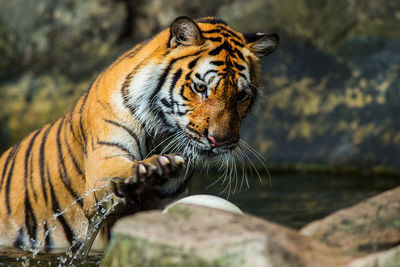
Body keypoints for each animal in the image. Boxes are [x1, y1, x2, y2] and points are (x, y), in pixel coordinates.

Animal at [0, 15, 278, 254]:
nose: (218, 141)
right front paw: (150, 169)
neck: (161, 133)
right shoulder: (101, 171)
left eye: (241, 96)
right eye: (200, 88)